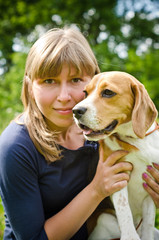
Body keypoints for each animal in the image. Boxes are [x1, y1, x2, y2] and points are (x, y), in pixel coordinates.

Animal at [73, 71, 159, 240]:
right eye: (85, 93)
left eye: (108, 92)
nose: (76, 111)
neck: (136, 139)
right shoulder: (117, 176)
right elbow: (124, 211)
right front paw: (130, 236)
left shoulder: (149, 184)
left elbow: (148, 223)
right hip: (104, 219)